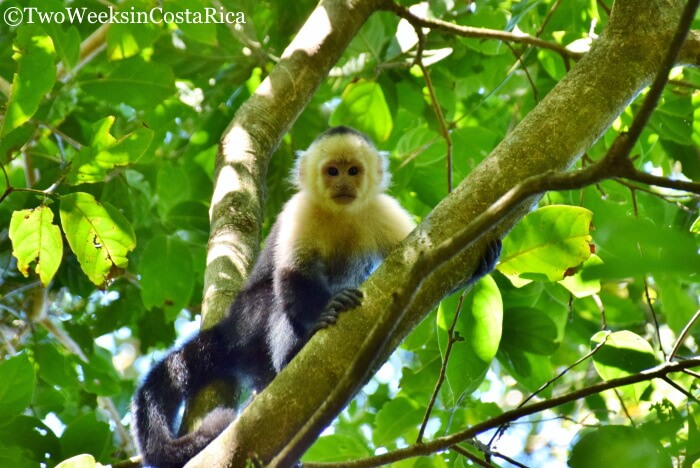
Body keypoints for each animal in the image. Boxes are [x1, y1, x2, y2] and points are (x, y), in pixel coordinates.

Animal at [131, 126, 501, 468]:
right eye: (332, 171)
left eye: (353, 170)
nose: (343, 185)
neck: (339, 214)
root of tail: (228, 325)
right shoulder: (300, 210)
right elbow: (293, 276)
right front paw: (324, 311)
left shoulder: (381, 210)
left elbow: (427, 265)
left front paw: (481, 260)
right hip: (247, 322)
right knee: (273, 302)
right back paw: (294, 351)